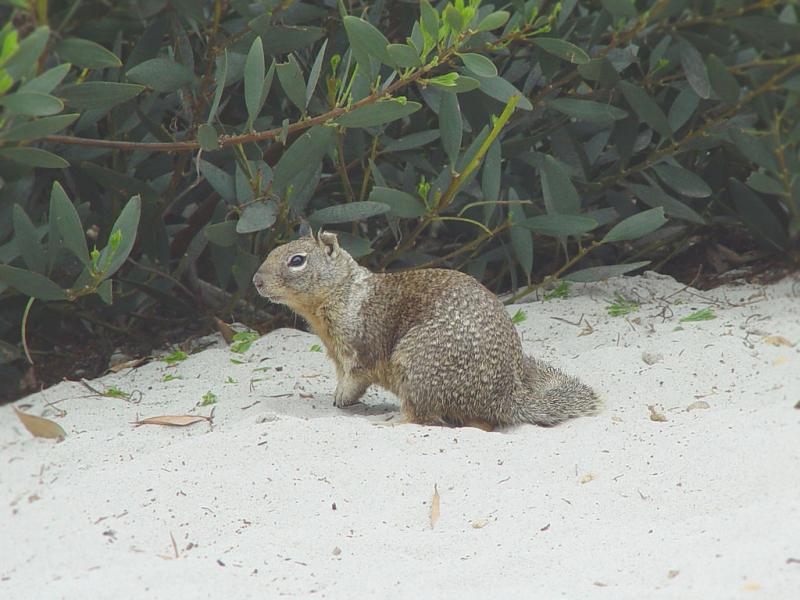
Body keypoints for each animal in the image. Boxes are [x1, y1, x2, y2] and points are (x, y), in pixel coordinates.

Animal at [252, 232, 600, 428]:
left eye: (297, 260)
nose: (256, 280)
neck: (344, 291)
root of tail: (506, 396)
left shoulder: (358, 348)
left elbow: (355, 378)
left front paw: (342, 399)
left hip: (416, 366)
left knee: (425, 418)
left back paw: (390, 422)